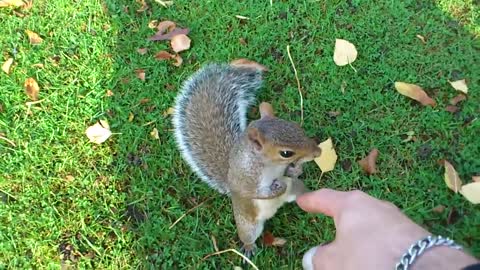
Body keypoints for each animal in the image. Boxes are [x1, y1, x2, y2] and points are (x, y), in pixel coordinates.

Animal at [171, 62, 320, 258]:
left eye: (296, 127)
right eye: (286, 153)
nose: (317, 152)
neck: (270, 166)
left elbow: (289, 173)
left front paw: (296, 170)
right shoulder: (246, 179)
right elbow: (254, 192)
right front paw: (276, 188)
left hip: (296, 189)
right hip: (248, 225)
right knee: (248, 235)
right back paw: (249, 248)